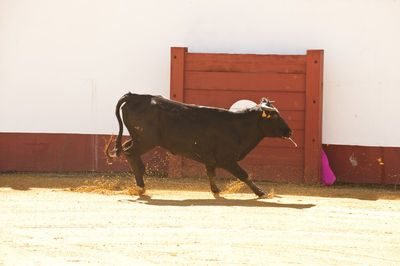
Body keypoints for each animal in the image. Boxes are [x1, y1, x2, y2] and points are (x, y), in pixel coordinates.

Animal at [106, 92, 292, 196]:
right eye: (275, 116)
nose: (289, 131)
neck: (238, 126)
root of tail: (133, 96)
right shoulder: (227, 160)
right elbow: (244, 175)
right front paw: (261, 192)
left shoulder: (210, 159)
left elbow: (211, 174)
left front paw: (216, 191)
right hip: (146, 141)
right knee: (130, 153)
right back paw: (140, 186)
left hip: (139, 139)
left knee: (127, 149)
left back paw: (142, 178)